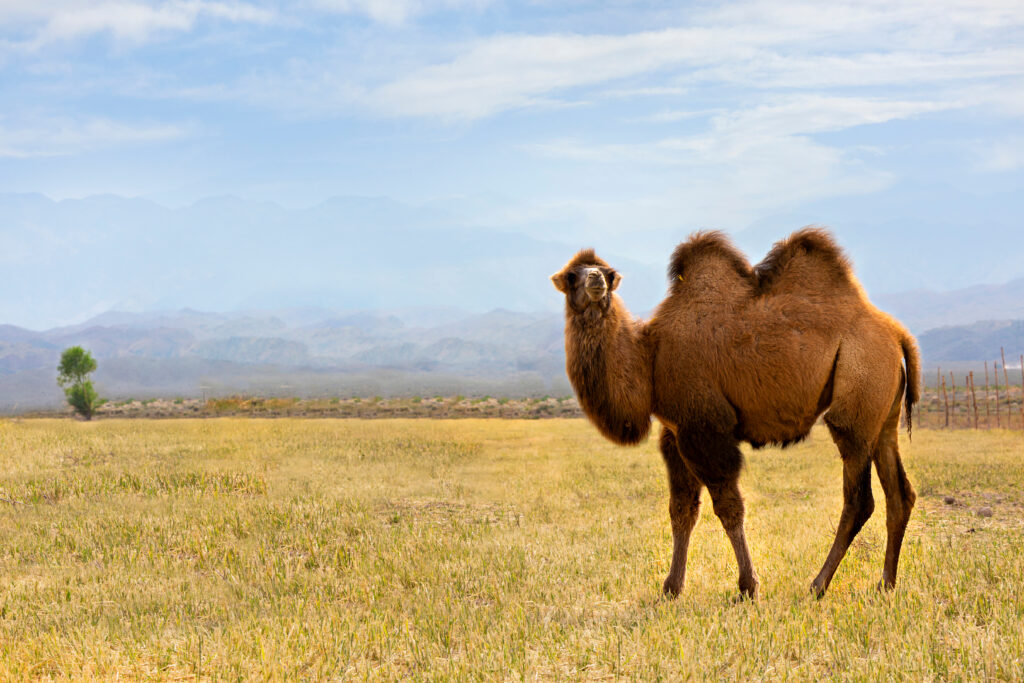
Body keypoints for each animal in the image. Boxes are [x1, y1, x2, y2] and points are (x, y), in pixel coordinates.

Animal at [552, 228, 921, 598]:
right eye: (572, 275)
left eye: (609, 273)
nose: (597, 280)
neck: (650, 358)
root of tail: (898, 334)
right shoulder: (675, 434)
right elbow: (681, 510)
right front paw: (672, 588)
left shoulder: (705, 428)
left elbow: (729, 508)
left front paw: (747, 586)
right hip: (883, 414)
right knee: (899, 494)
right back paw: (885, 583)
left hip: (858, 397)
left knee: (859, 497)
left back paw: (818, 585)